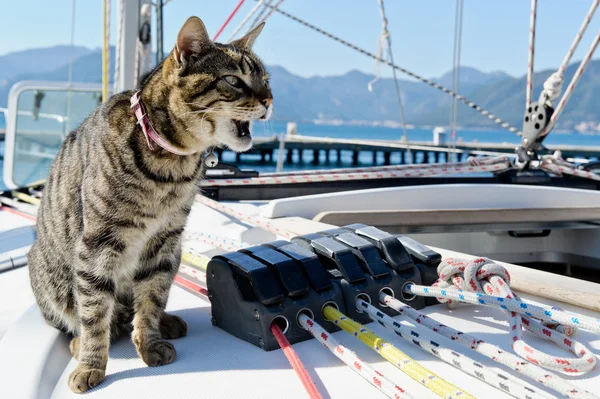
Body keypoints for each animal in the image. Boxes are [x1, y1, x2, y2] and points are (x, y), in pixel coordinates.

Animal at [27, 16, 272, 394]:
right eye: (234, 80)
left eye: (266, 80)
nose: (270, 100)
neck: (171, 166)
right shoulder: (98, 245)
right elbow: (94, 311)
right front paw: (91, 364)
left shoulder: (165, 240)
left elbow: (152, 297)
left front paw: (151, 341)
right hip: (49, 273)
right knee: (82, 316)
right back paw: (82, 340)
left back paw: (164, 322)